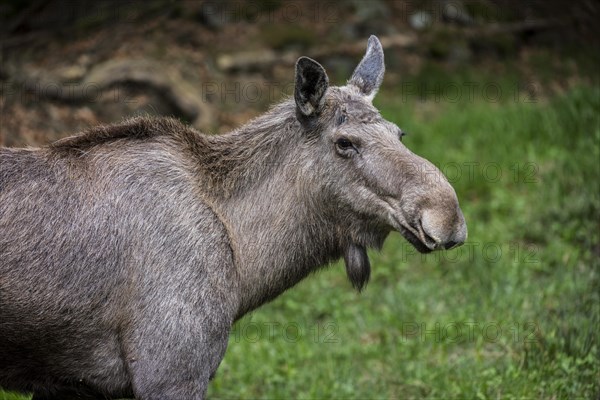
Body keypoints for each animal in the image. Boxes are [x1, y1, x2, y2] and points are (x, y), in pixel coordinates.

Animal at [0, 36, 466, 398]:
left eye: (399, 133)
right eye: (344, 143)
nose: (447, 217)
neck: (245, 265)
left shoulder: (75, 385)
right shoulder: (171, 369)